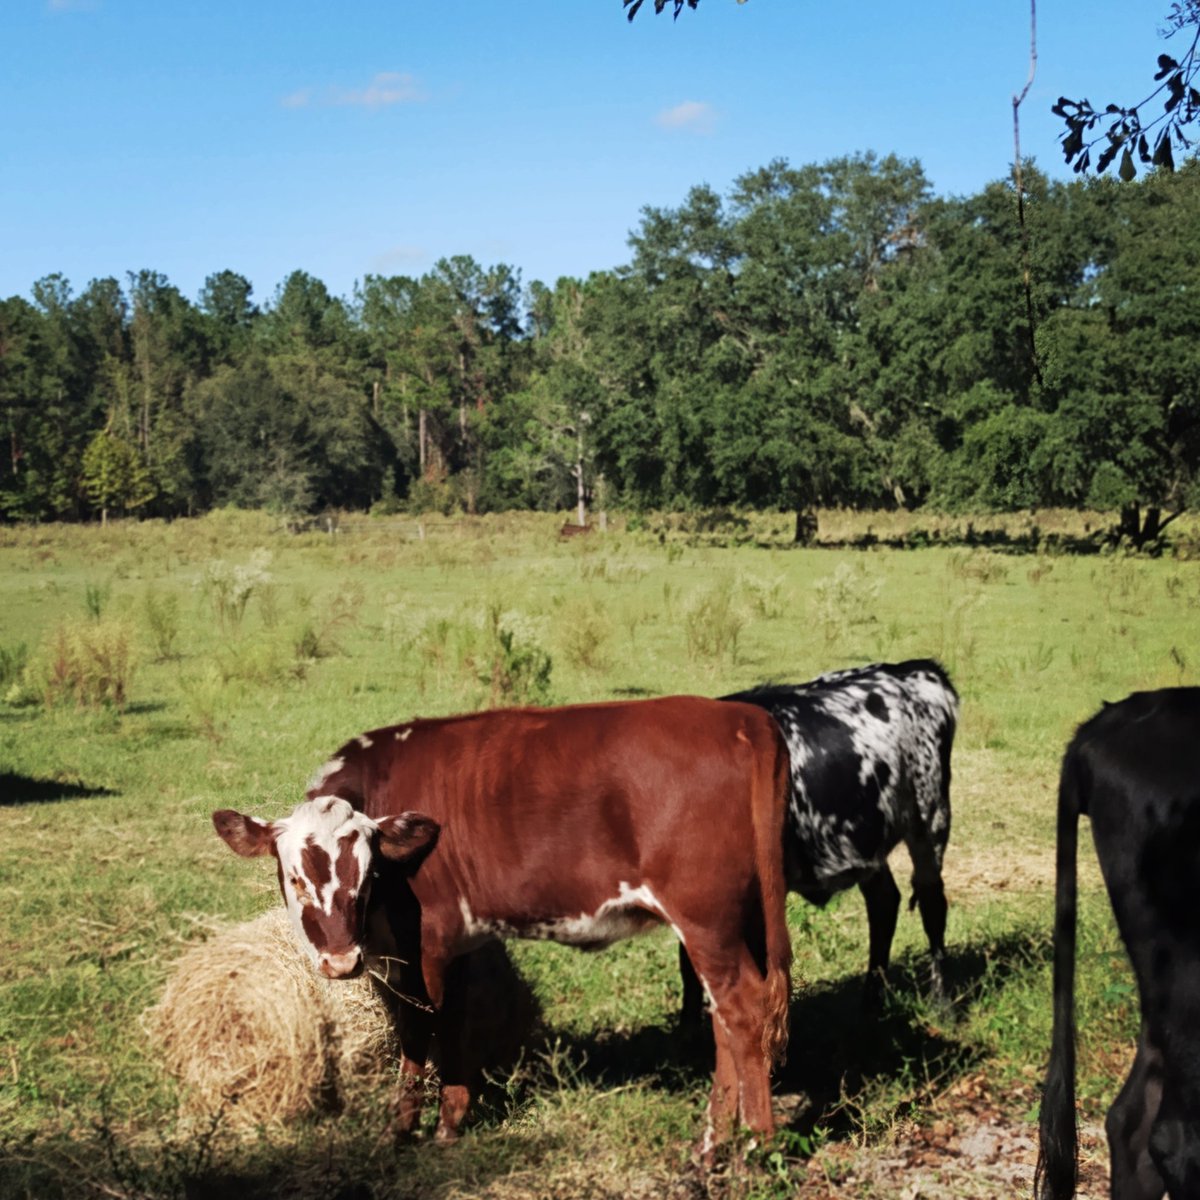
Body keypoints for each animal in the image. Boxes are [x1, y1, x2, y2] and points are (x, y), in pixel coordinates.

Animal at [212, 695, 793, 1156]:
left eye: (369, 872)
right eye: (294, 877)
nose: (339, 961)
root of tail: (738, 716)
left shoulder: (424, 945)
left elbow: (421, 1031)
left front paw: (411, 1129)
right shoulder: (453, 947)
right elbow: (454, 1022)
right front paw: (453, 1114)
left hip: (705, 921)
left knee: (742, 1011)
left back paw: (750, 1147)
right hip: (737, 922)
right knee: (726, 1020)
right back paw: (717, 1140)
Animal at [679, 660, 959, 1024]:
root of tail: (915, 670)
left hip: (930, 819)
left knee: (931, 903)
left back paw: (942, 1004)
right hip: (868, 839)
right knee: (884, 901)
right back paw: (871, 1005)